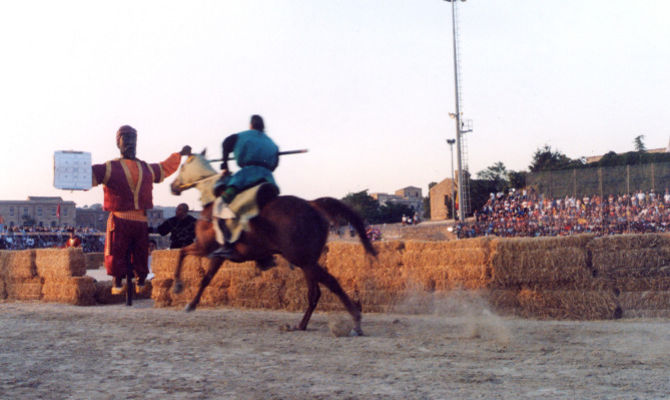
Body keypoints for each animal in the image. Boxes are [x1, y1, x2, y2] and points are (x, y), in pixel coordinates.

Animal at [169, 151, 378, 334]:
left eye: (181, 168)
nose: (173, 187)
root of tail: (312, 204)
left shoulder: (205, 248)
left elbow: (182, 254)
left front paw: (180, 289)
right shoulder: (217, 255)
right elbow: (206, 277)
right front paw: (191, 302)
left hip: (302, 260)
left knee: (330, 284)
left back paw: (356, 322)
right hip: (307, 262)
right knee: (315, 292)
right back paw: (301, 325)